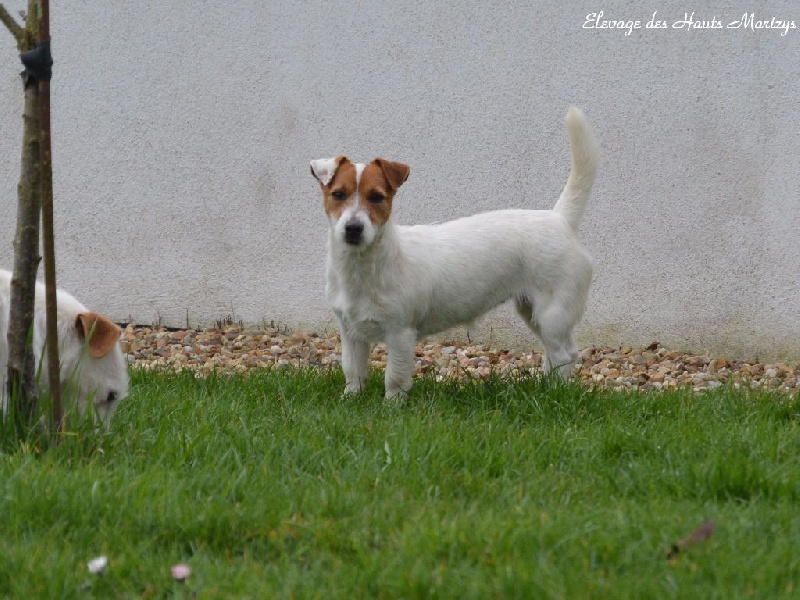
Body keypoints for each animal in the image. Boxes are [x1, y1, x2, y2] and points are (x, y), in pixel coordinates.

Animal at [312, 106, 600, 400]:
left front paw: (391, 405)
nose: (353, 228)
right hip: (531, 310)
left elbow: (395, 377)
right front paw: (350, 399)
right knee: (559, 352)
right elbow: (353, 371)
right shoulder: (351, 333)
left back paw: (553, 392)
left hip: (552, 312)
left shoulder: (400, 334)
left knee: (563, 354)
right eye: (338, 194)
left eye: (377, 197)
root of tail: (560, 218)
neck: (364, 268)